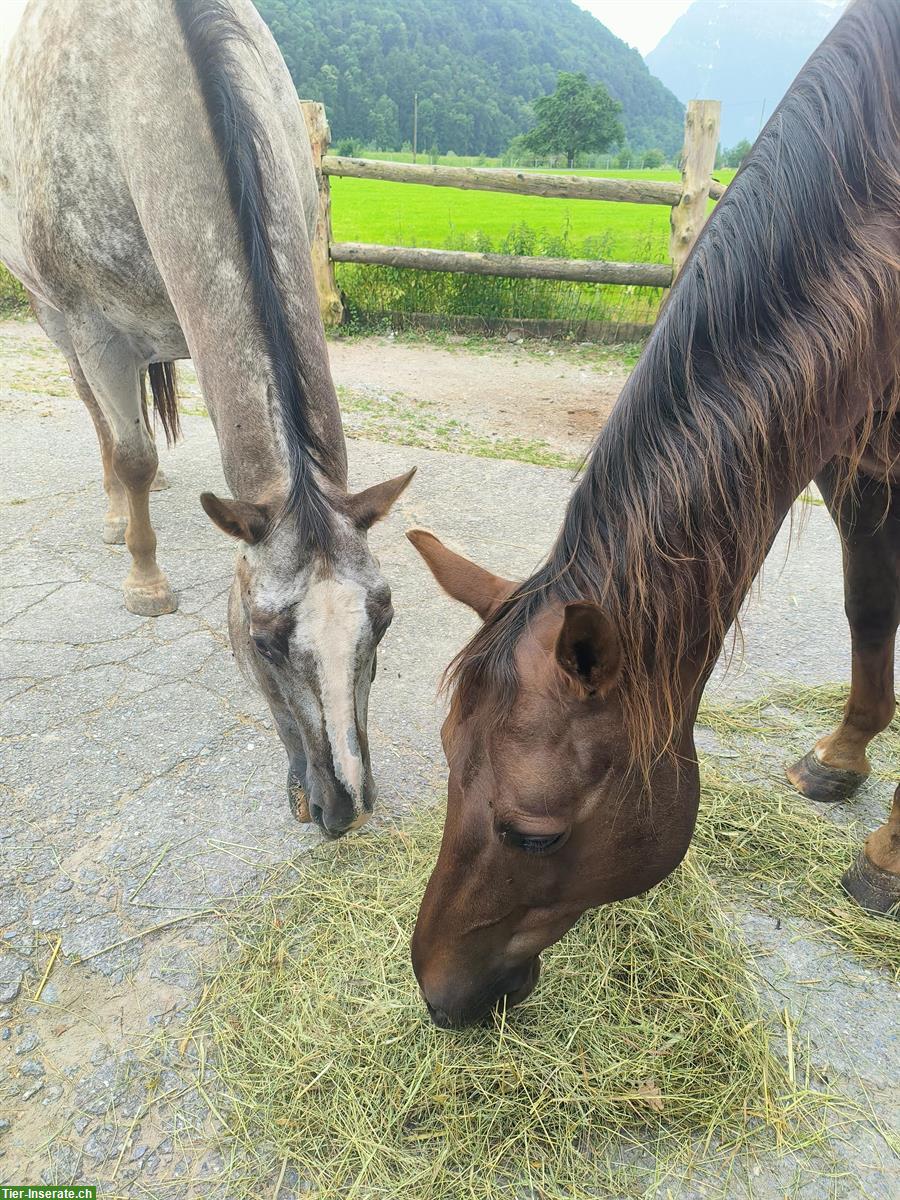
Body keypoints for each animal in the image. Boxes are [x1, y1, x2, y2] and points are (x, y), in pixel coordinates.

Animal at [410, 0, 900, 1032]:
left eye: (534, 834)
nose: (437, 994)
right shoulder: (857, 464)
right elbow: (870, 611)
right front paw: (842, 755)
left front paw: (887, 855)